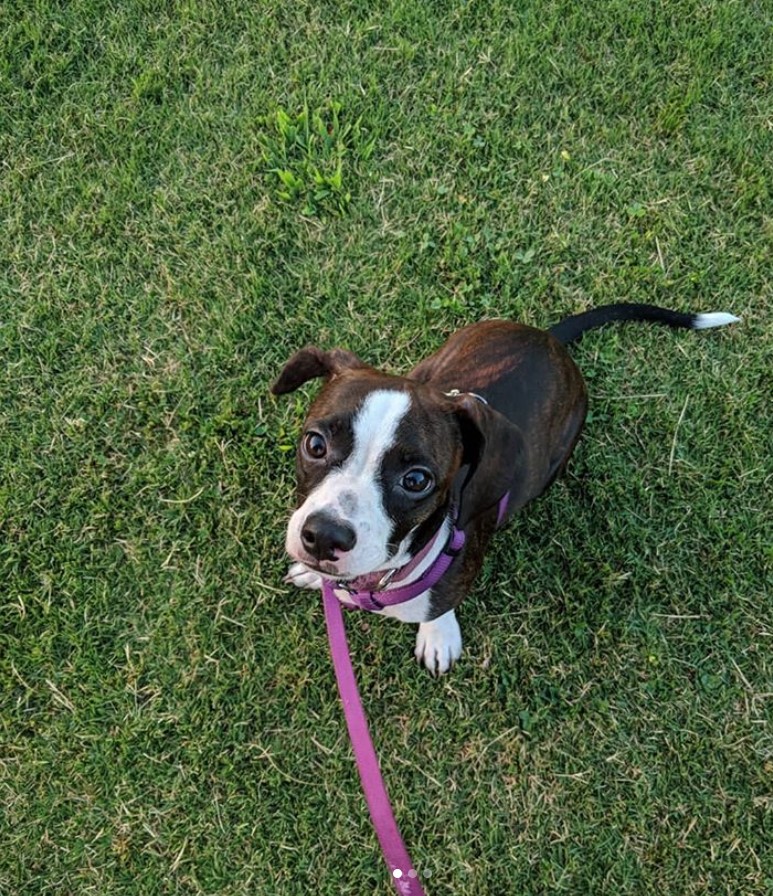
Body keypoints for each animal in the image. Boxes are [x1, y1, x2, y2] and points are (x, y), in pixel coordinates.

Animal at [272, 300, 736, 672]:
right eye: (315, 444)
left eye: (416, 480)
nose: (324, 537)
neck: (382, 576)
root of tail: (551, 340)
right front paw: (314, 575)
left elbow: (439, 608)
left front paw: (438, 636)